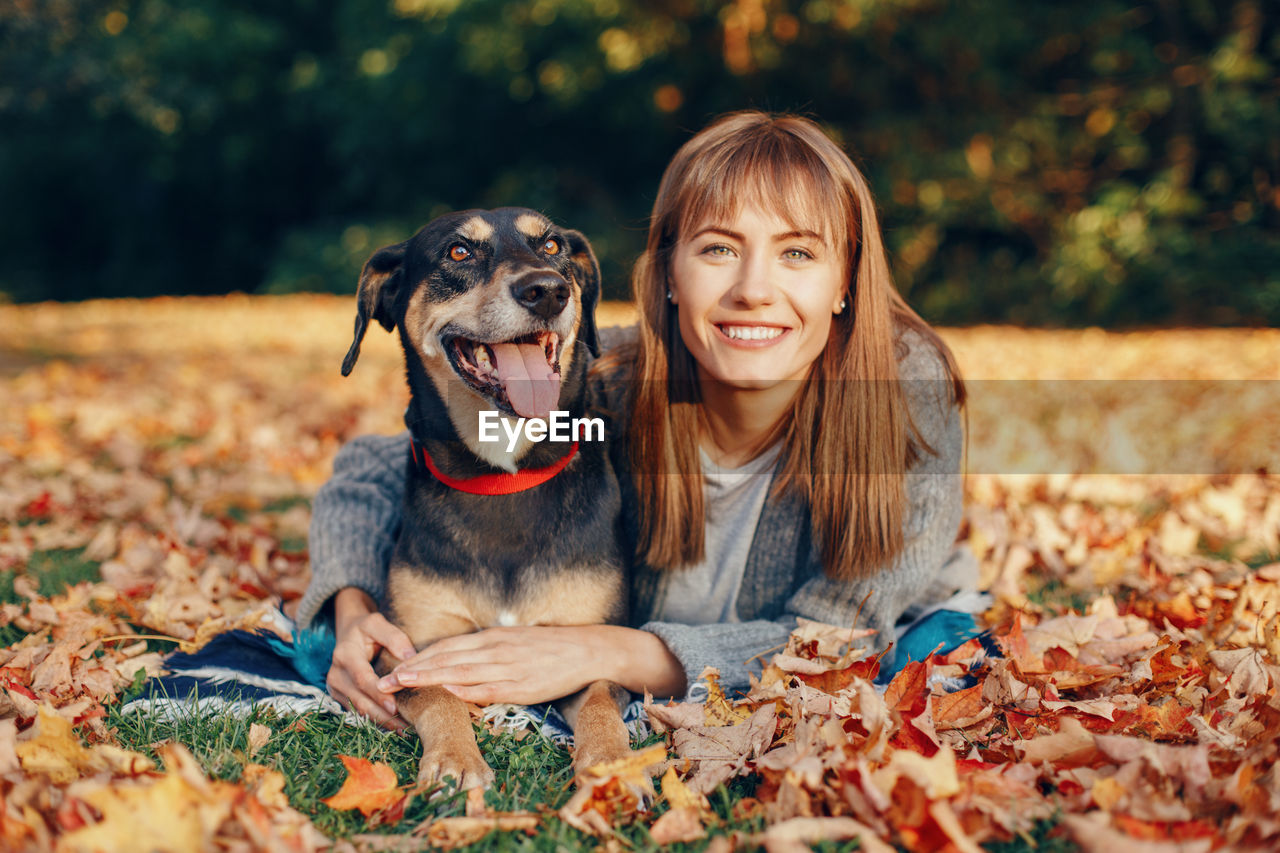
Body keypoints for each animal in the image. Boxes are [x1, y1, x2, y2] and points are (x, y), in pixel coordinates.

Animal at [340, 206, 634, 788]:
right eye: (459, 252)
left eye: (551, 246)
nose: (547, 291)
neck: (503, 473)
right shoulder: (407, 651)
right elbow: (436, 694)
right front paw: (455, 758)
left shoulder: (589, 645)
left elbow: (599, 701)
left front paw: (612, 762)